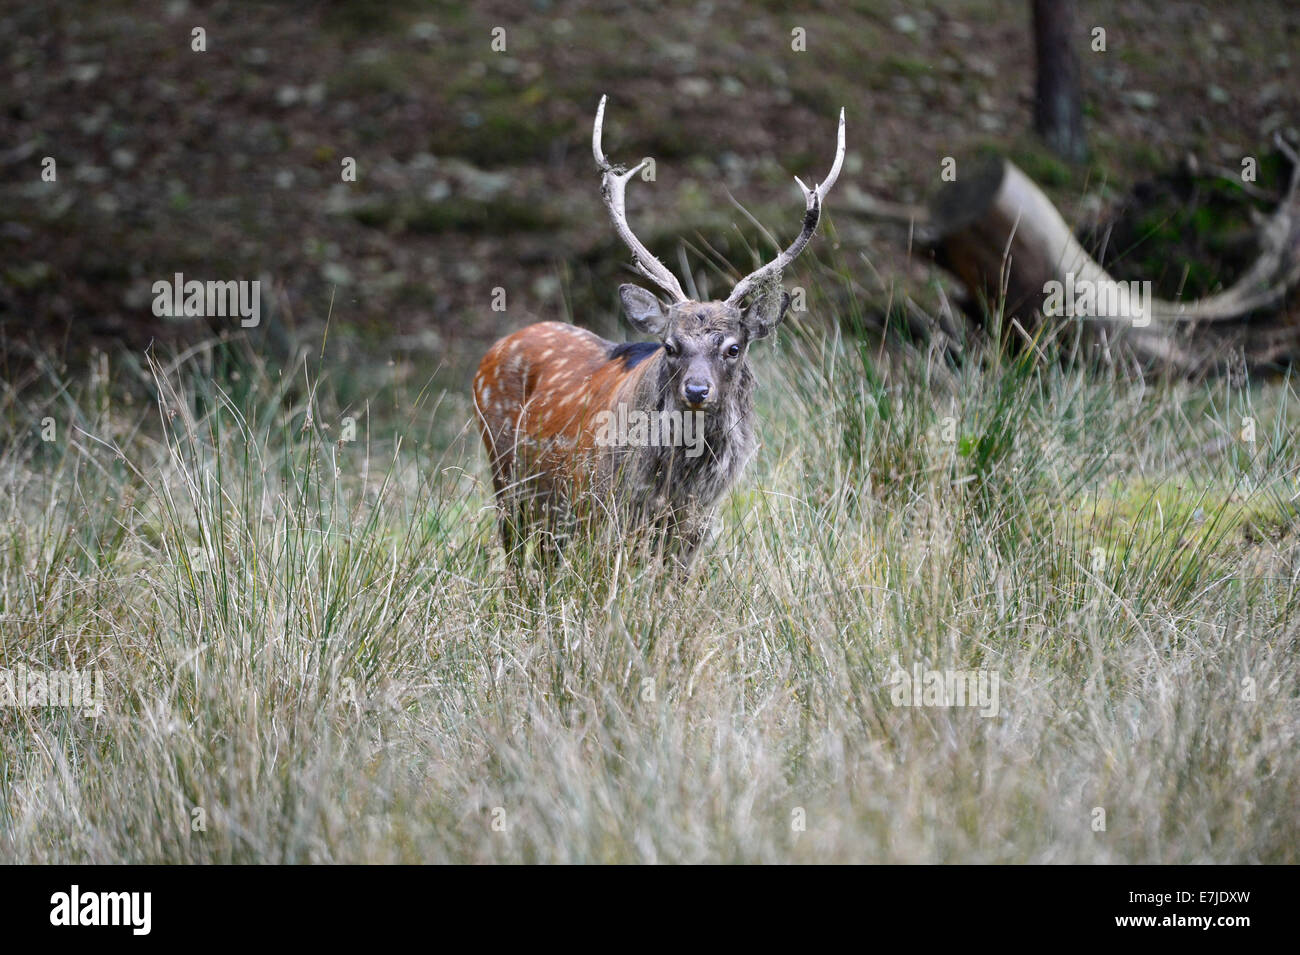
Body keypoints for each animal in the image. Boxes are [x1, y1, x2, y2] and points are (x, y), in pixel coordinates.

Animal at [473, 96, 847, 566]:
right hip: (507, 475)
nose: (697, 391)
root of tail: (496, 347)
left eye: (734, 348)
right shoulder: (604, 509)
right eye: (670, 345)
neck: (676, 488)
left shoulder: (698, 526)